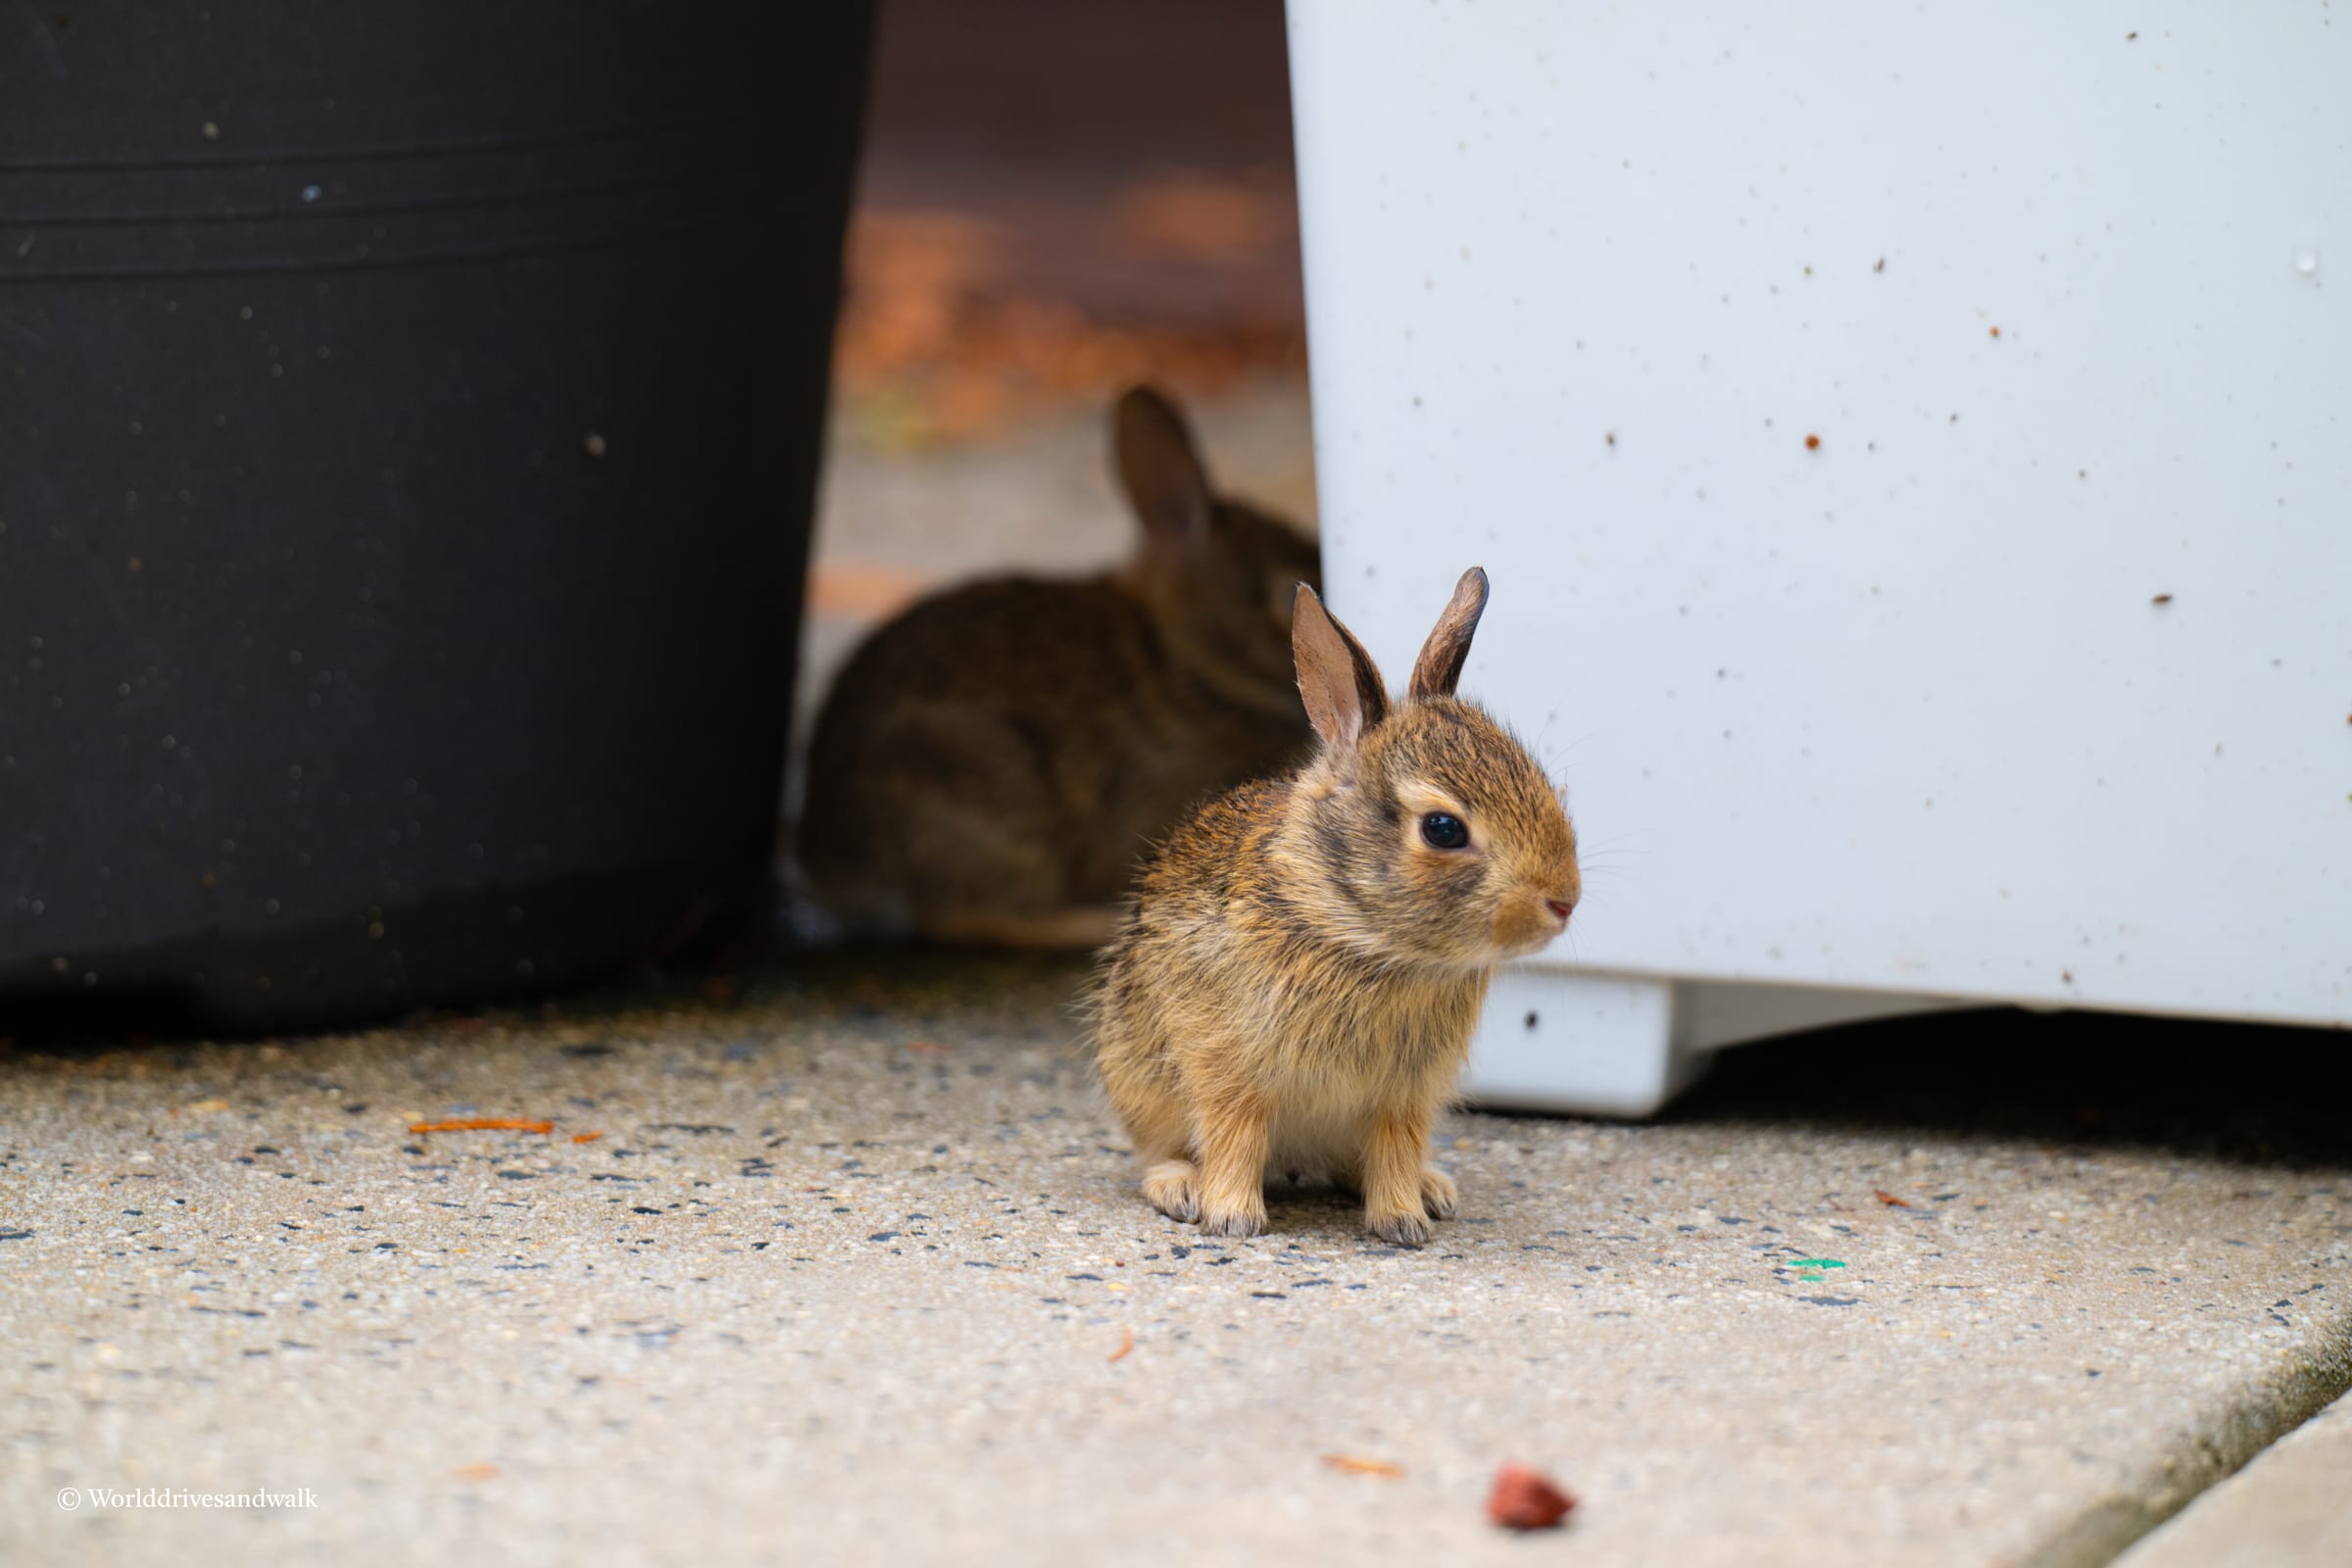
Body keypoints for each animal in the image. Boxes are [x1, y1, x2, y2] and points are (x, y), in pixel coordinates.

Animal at [797, 385, 1320, 950]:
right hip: (981, 791)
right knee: (961, 916)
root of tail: (831, 866)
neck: (1178, 660)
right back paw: (1086, 924)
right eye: (1287, 591)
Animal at [1092, 566, 1580, 1245]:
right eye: (1443, 829)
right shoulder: (1230, 1068)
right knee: (1159, 1149)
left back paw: (1432, 1189)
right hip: (1138, 1072)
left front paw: (1402, 1220)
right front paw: (1234, 1218)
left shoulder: (1405, 1095)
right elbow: (1234, 1135)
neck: (1355, 929)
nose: (1564, 902)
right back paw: (1181, 1187)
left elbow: (1396, 1148)